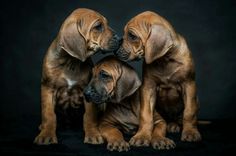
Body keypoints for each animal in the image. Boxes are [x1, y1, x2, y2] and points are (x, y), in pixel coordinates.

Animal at [33, 8, 120, 145]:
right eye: (98, 26)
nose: (121, 39)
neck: (71, 62)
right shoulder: (48, 88)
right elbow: (49, 114)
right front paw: (46, 134)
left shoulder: (88, 91)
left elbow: (89, 116)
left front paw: (93, 134)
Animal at [115, 11, 201, 149]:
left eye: (132, 36)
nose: (115, 51)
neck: (164, 60)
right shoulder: (148, 88)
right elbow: (146, 115)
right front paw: (142, 136)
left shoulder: (189, 85)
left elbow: (189, 112)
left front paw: (191, 132)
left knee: (181, 117)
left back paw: (176, 125)